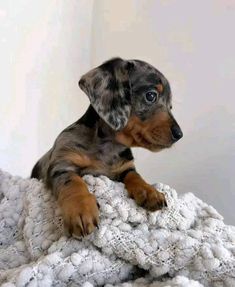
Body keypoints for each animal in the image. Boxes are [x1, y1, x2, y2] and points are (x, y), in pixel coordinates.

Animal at [31, 58, 183, 238]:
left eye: (171, 106)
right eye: (151, 95)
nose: (179, 134)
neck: (108, 146)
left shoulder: (126, 168)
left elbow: (136, 176)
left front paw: (150, 191)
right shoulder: (62, 165)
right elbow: (73, 182)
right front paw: (81, 209)